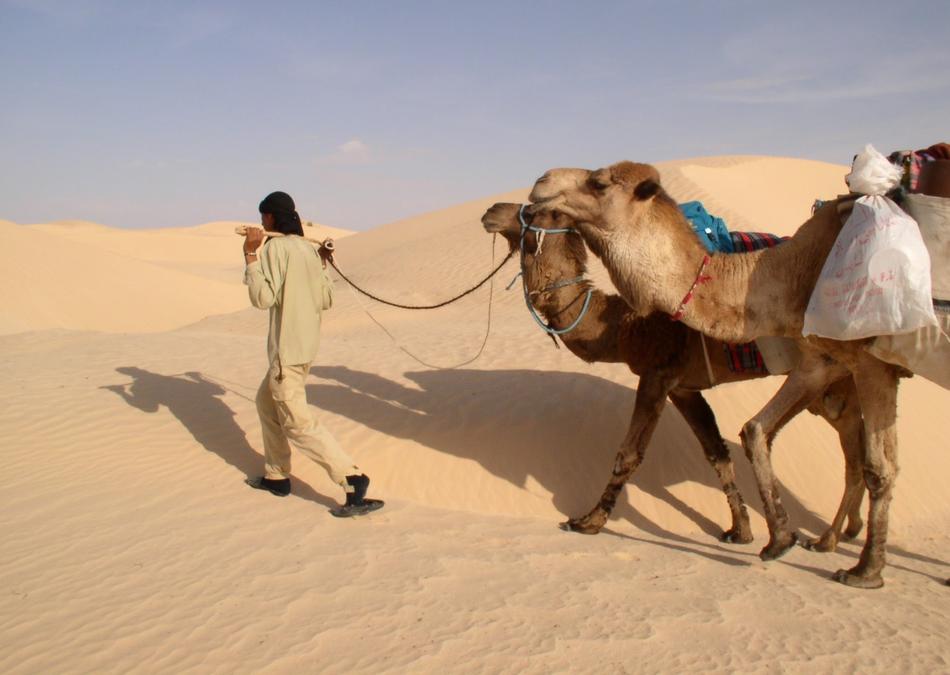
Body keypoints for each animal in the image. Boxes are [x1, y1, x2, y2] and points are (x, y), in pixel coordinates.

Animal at [481, 202, 866, 551]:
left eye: (533, 211)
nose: (491, 210)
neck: (624, 325)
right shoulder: (684, 387)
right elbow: (716, 453)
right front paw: (739, 530)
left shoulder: (657, 374)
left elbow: (629, 453)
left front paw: (588, 521)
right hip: (835, 387)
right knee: (858, 450)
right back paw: (844, 535)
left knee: (857, 454)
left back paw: (832, 543)